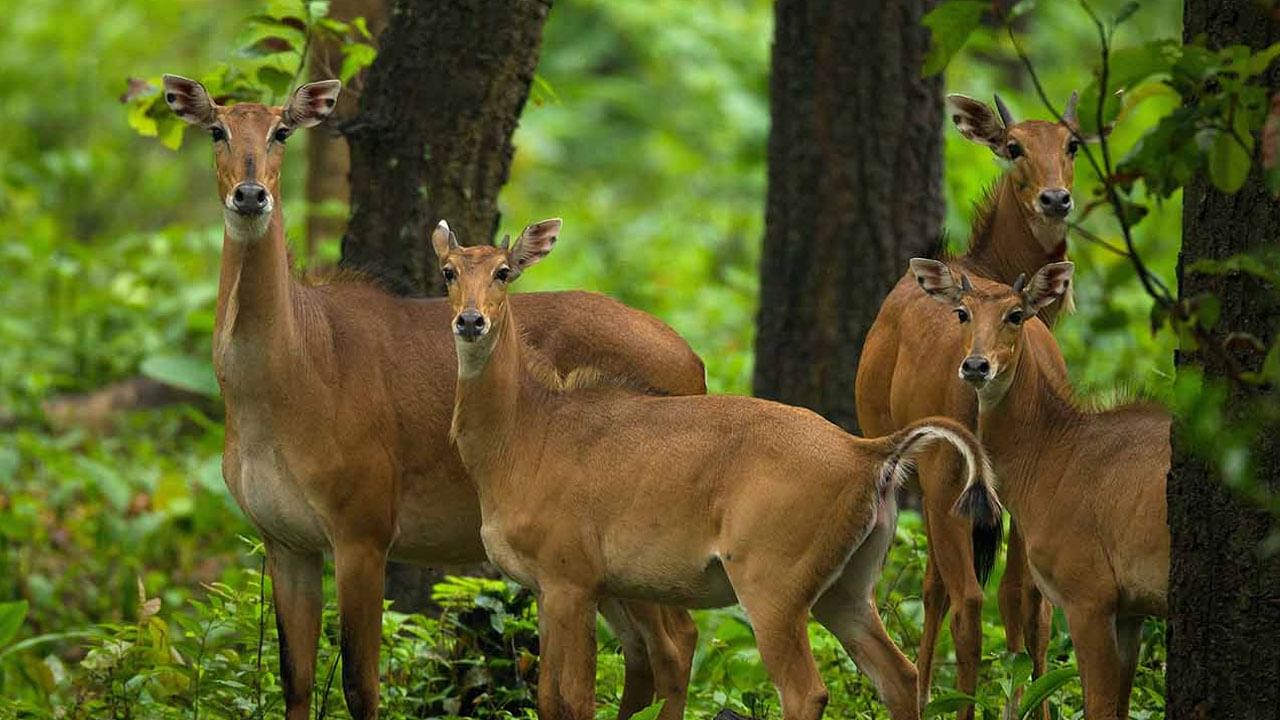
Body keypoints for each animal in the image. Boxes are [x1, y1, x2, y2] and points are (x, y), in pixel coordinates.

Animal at [161, 74, 706, 717]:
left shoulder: (364, 526)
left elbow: (360, 685)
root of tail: (695, 362)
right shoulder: (284, 538)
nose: (250, 195)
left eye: (282, 130)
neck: (284, 381)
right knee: (644, 656)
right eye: (216, 130)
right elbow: (294, 681)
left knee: (676, 644)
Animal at [435, 220, 1003, 717]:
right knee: (900, 677)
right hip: (846, 588)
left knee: (807, 692)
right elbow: (549, 700)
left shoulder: (570, 580)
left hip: (771, 585)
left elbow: (570, 702)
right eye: (448, 271)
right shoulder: (554, 588)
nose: (471, 321)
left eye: (504, 271)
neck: (523, 435)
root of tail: (870, 454)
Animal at [849, 90, 1100, 712]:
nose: (1055, 198)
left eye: (1072, 144)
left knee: (971, 597)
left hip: (943, 474)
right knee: (1004, 597)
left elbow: (959, 591)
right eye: (1013, 146)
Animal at [911, 258, 1172, 717]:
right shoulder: (1131, 609)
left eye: (1016, 314)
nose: (976, 366)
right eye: (962, 312)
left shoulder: (1089, 593)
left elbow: (1097, 706)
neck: (1052, 458)